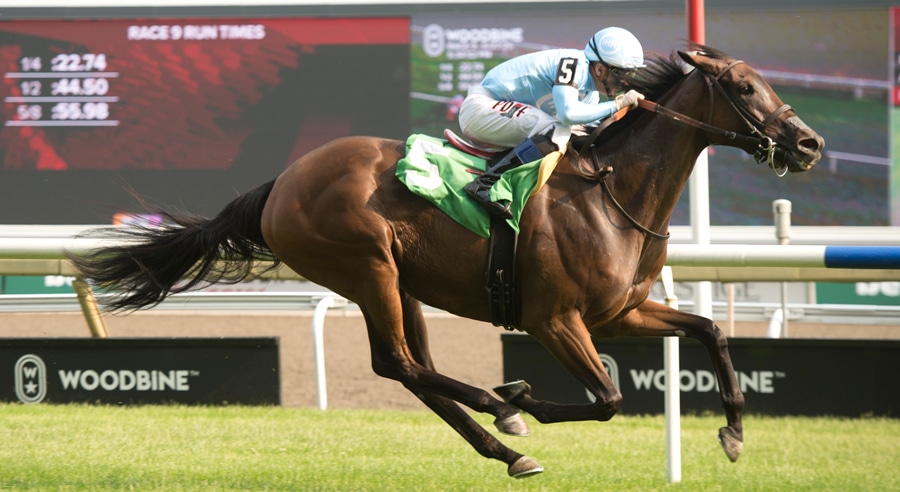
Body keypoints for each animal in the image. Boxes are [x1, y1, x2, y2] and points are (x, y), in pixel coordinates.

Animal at [70, 44, 824, 478]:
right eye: (746, 89)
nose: (810, 144)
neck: (609, 190)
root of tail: (280, 183)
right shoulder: (555, 319)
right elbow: (608, 399)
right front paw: (525, 398)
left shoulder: (621, 313)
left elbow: (711, 331)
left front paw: (732, 432)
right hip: (365, 267)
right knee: (400, 365)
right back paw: (503, 410)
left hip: (399, 281)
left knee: (413, 367)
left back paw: (507, 446)